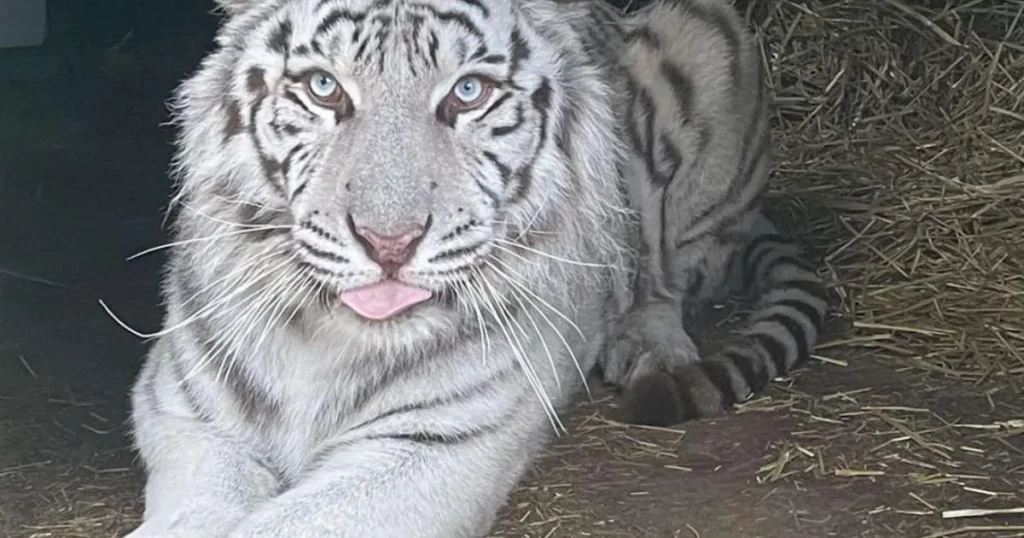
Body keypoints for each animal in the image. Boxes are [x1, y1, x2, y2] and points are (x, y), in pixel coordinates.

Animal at [124, 0, 827, 536]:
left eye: (470, 93)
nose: (389, 241)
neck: (323, 337)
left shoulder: (434, 445)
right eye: (324, 87)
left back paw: (651, 347)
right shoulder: (189, 420)